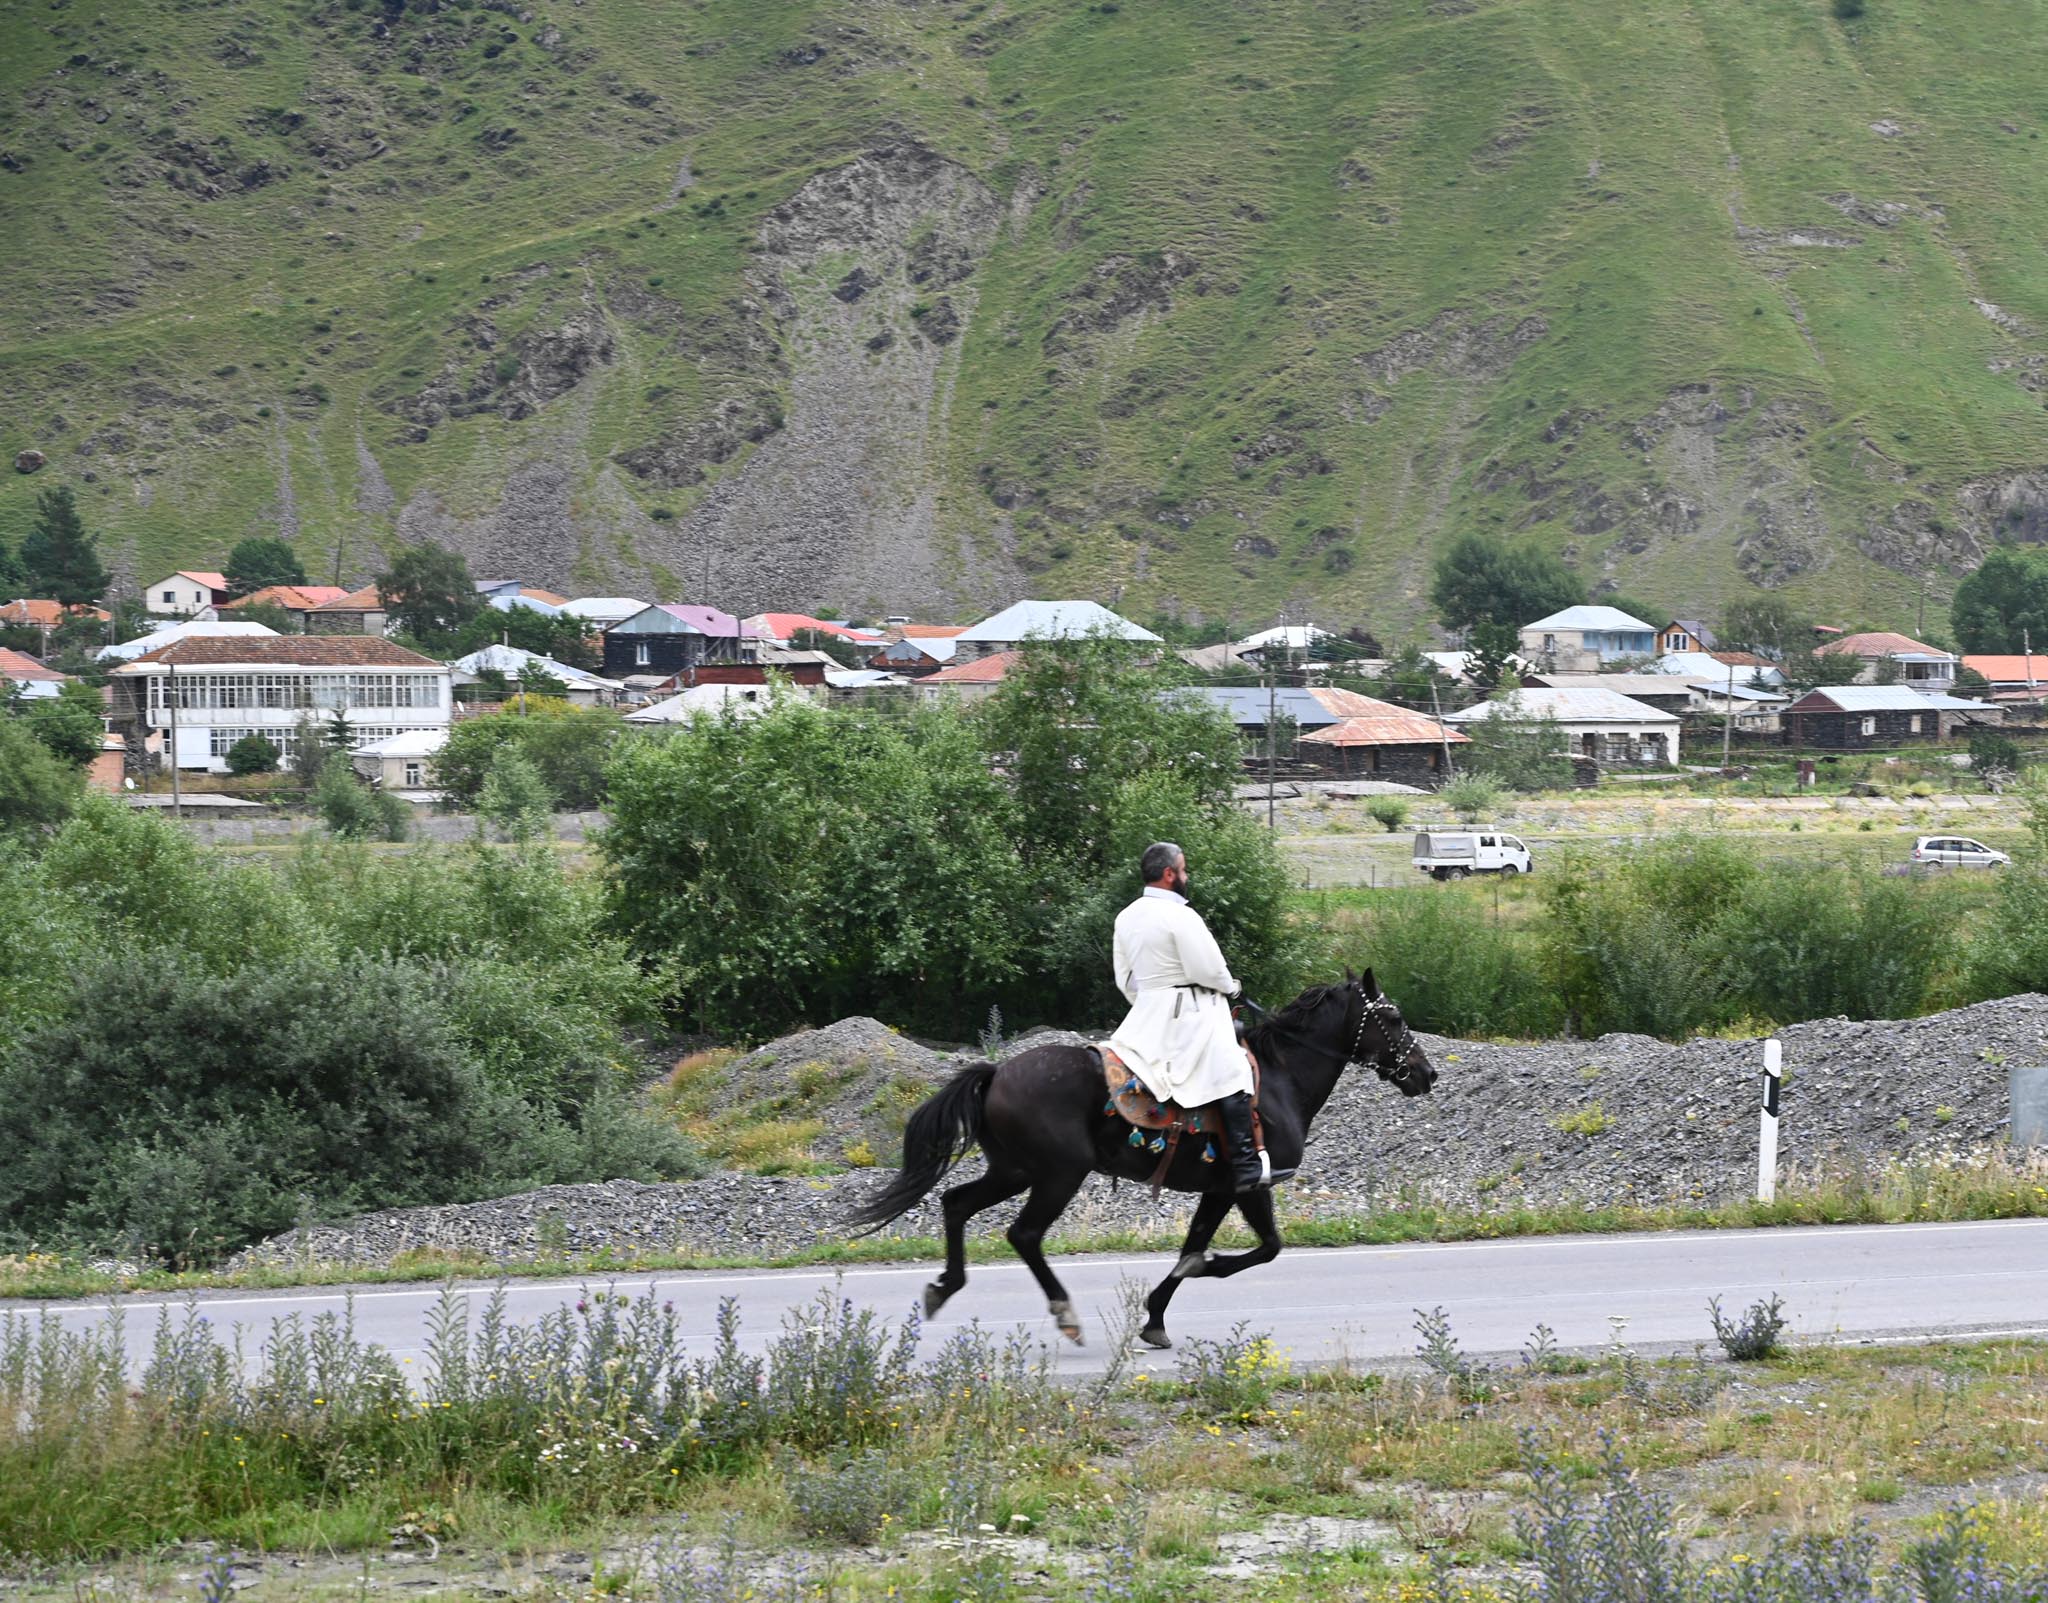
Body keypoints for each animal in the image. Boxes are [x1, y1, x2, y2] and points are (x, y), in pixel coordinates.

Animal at [847, 970, 1441, 1351]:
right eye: (1392, 1016)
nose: (1426, 1073)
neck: (1279, 1078)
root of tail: (996, 1070)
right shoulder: (1249, 1185)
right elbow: (1261, 1248)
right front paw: (1201, 1273)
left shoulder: (1218, 1191)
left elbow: (1195, 1246)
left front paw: (1155, 1315)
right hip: (1057, 1175)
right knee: (1024, 1234)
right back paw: (1064, 1313)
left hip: (1013, 1171)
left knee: (955, 1203)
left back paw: (944, 1286)